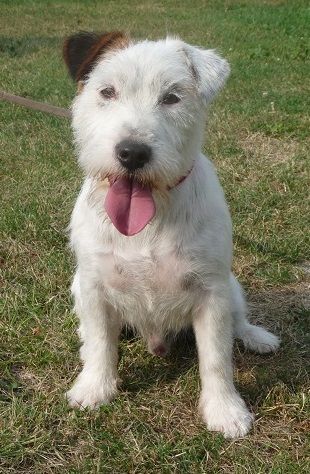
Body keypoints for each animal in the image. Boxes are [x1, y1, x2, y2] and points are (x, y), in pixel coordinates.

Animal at [63, 32, 280, 436]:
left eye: (172, 97)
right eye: (107, 91)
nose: (132, 153)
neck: (153, 213)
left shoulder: (212, 295)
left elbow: (216, 358)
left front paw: (225, 409)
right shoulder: (94, 286)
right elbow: (101, 342)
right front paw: (95, 387)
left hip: (231, 285)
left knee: (238, 321)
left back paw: (256, 336)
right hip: (78, 285)